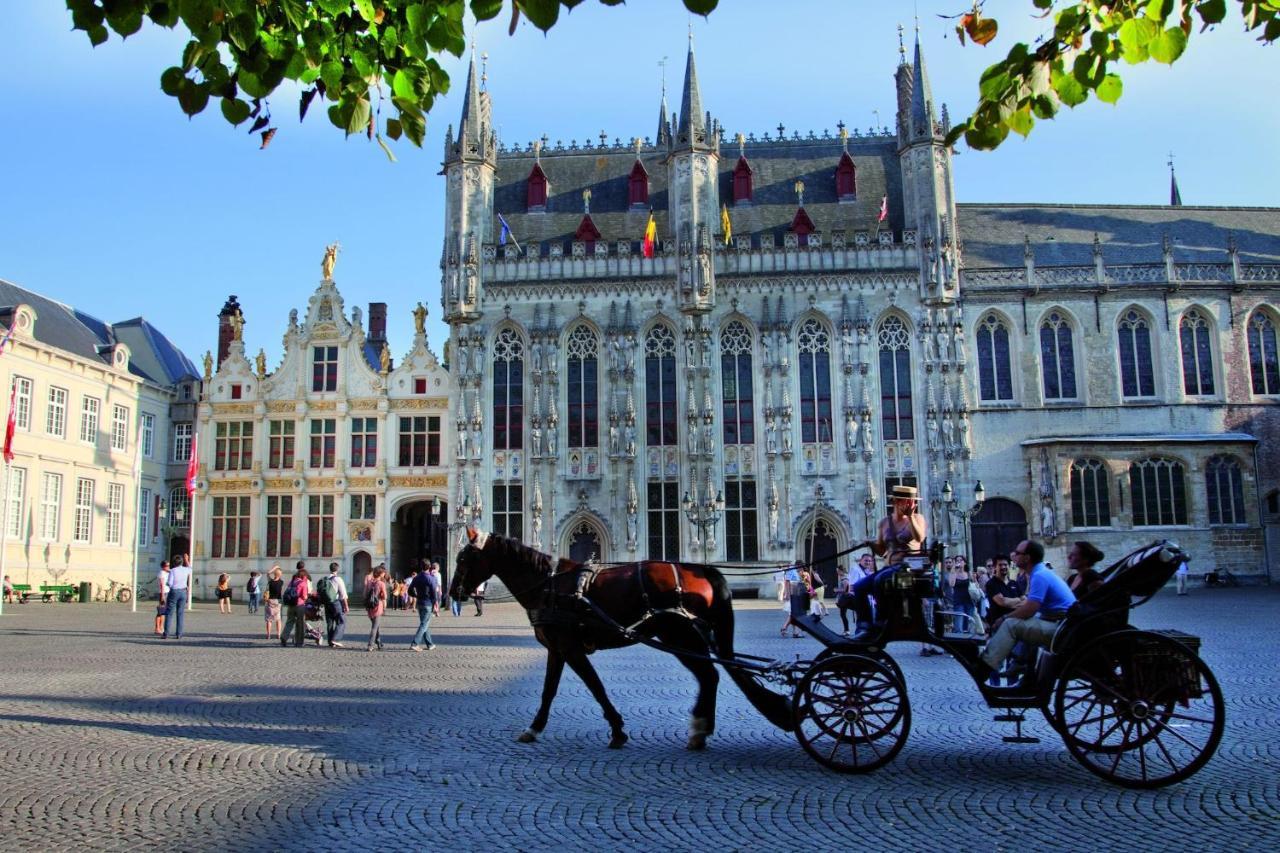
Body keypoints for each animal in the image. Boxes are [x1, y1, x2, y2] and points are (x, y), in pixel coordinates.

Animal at [448, 527, 788, 747]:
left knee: (709, 675)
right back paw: (701, 730)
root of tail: (702, 569)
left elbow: (595, 687)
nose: (453, 593)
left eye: (464, 559)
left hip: (680, 635)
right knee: (711, 675)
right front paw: (534, 728)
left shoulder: (570, 648)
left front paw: (617, 730)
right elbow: (549, 691)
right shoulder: (557, 649)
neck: (548, 584)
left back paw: (699, 728)